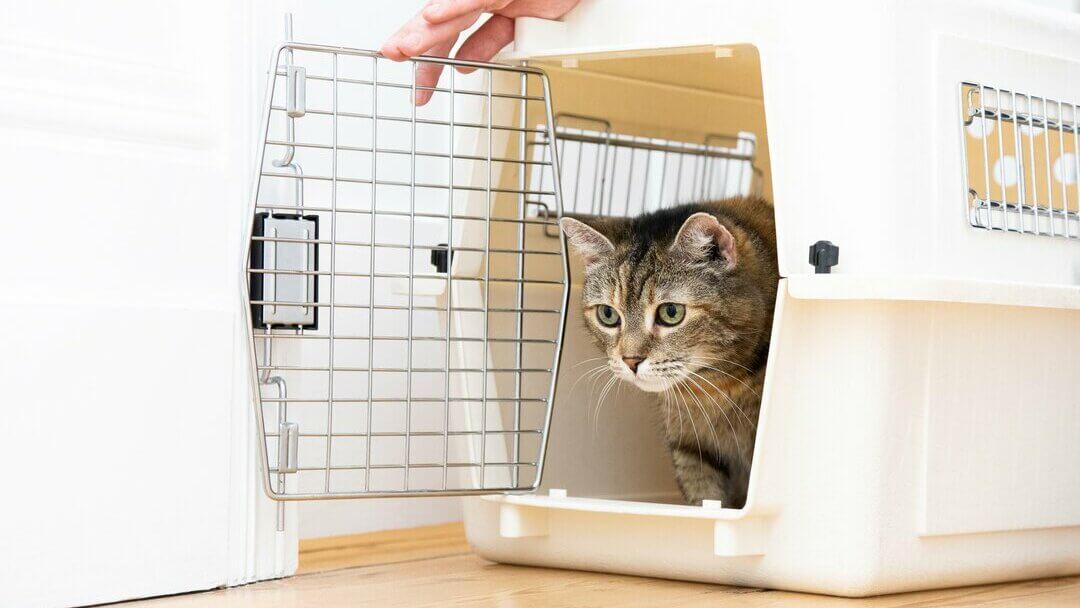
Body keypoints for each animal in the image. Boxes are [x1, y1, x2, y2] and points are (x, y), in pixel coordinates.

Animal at [557, 199, 777, 509]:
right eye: (608, 315)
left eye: (671, 312)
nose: (630, 360)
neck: (717, 390)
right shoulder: (692, 449)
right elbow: (706, 499)